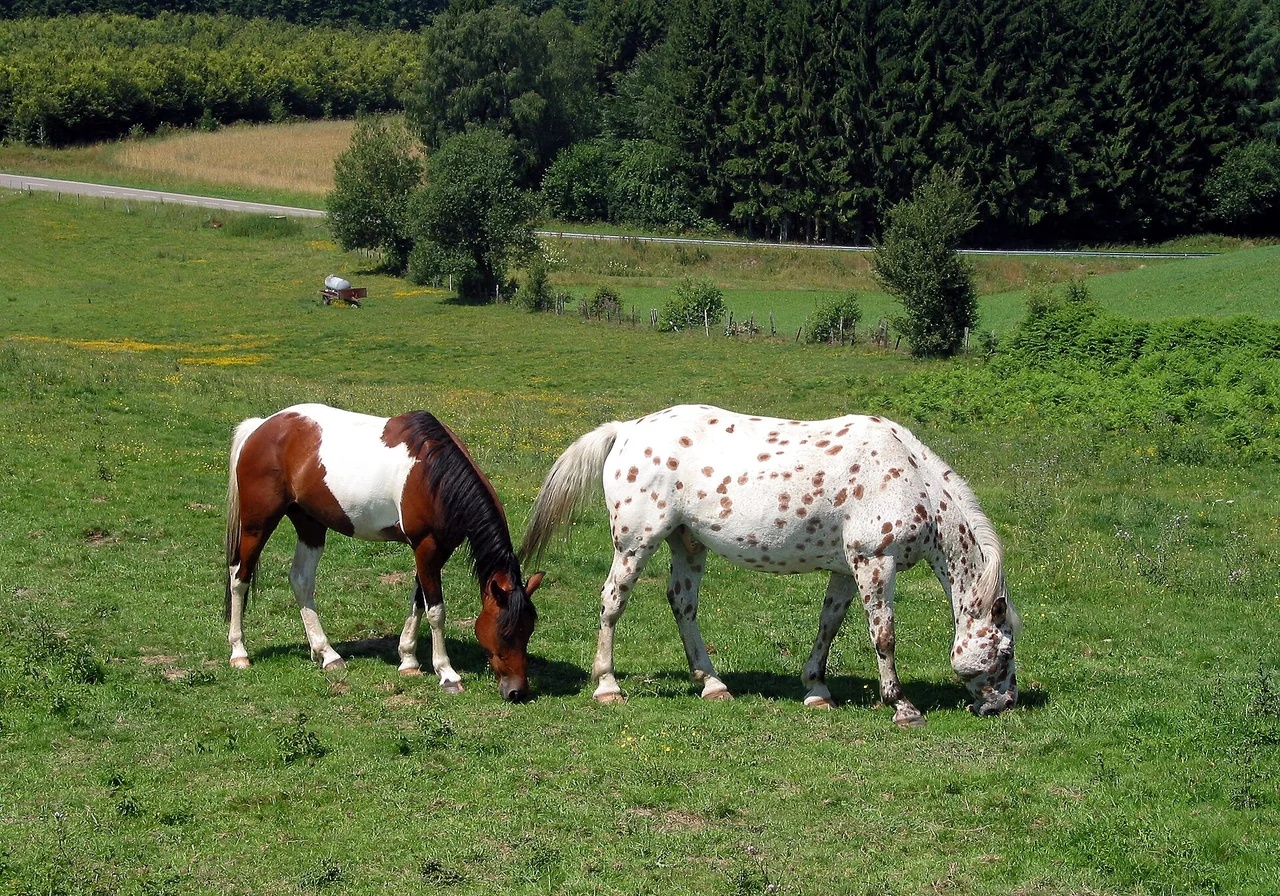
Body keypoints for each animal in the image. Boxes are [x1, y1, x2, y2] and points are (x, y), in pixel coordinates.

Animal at [225, 403, 542, 702]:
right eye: (505, 633)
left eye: (529, 630)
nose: (517, 692)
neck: (434, 475)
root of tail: (261, 427)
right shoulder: (426, 547)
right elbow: (435, 611)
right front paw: (447, 673)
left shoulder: (437, 549)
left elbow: (419, 602)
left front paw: (409, 660)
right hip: (257, 525)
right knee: (239, 577)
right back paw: (239, 653)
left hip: (310, 524)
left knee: (301, 580)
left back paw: (326, 654)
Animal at [520, 404, 1019, 726]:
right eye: (1005, 652)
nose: (1006, 704)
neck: (911, 478)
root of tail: (625, 430)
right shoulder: (874, 562)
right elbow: (884, 636)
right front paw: (902, 707)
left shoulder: (846, 568)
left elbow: (829, 625)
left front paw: (816, 690)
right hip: (634, 544)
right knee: (613, 602)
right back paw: (607, 686)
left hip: (687, 543)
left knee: (682, 604)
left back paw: (712, 683)